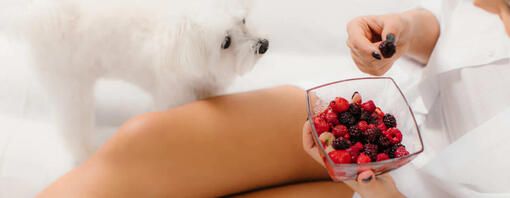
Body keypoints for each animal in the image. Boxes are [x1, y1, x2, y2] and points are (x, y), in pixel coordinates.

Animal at [18, 0, 268, 163]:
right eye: (226, 42)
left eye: (243, 20)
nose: (264, 45)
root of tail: (37, 14)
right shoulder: (173, 95)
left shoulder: (207, 88)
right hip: (68, 84)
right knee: (72, 126)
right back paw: (87, 152)